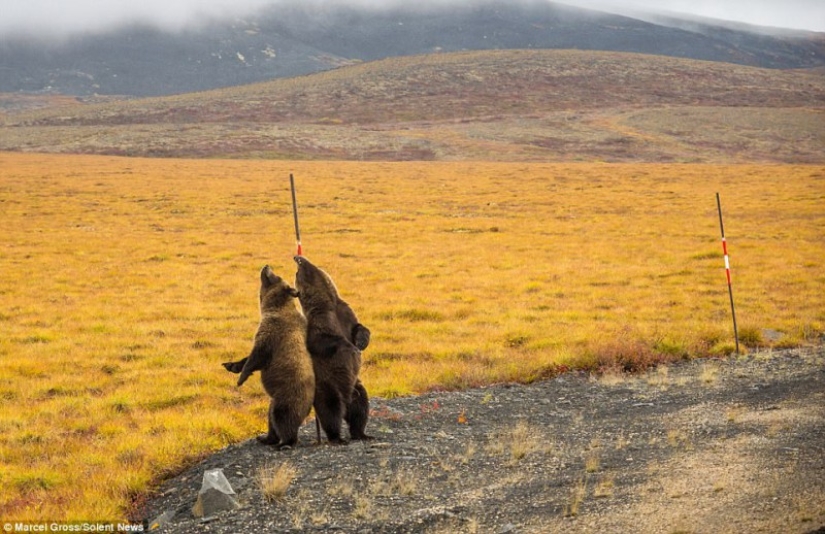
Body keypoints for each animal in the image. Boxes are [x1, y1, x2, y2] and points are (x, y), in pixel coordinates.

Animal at [222, 265, 315, 448]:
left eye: (276, 276)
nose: (266, 266)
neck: (273, 307)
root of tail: (309, 405)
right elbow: (249, 358)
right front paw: (232, 366)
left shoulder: (272, 333)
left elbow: (257, 355)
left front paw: (241, 378)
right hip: (275, 400)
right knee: (271, 417)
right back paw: (266, 438)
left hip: (287, 395)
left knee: (283, 417)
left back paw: (284, 442)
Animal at [293, 255, 372, 444]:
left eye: (302, 265)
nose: (297, 257)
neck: (327, 301)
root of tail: (347, 398)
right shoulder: (320, 321)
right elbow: (322, 341)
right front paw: (351, 348)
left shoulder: (345, 313)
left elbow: (359, 327)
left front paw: (361, 342)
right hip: (328, 386)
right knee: (331, 411)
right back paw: (337, 437)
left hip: (356, 387)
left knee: (360, 408)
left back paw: (362, 434)